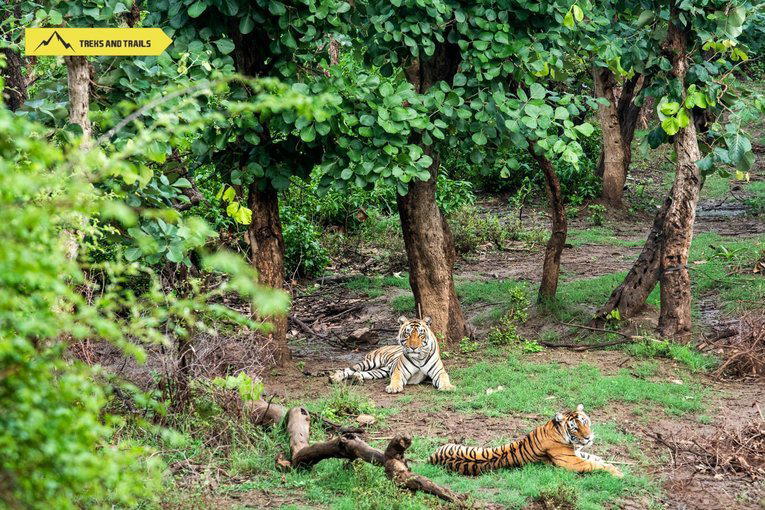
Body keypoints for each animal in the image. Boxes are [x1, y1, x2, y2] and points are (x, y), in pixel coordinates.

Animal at [428, 405, 623, 477]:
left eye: (585, 421)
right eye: (575, 427)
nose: (589, 437)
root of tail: (431, 458)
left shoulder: (577, 453)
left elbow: (597, 459)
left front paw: (615, 465)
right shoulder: (572, 462)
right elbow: (595, 465)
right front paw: (618, 473)